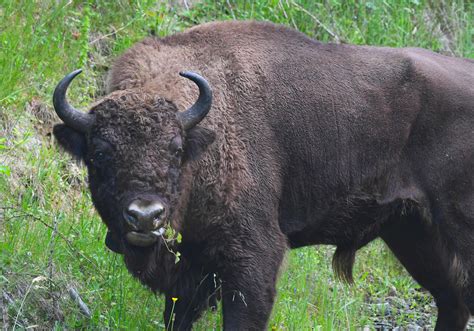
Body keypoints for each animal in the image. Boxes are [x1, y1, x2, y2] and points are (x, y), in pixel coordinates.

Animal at [52, 21, 474, 331]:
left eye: (175, 148)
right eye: (99, 154)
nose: (145, 216)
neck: (206, 132)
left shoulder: (252, 259)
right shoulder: (191, 273)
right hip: (412, 232)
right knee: (452, 299)